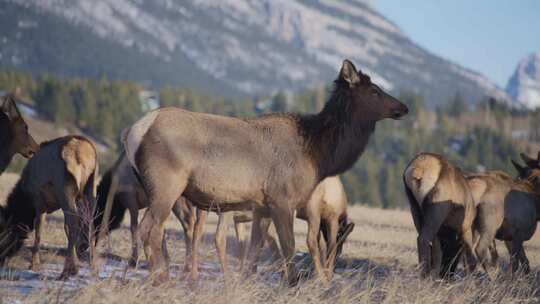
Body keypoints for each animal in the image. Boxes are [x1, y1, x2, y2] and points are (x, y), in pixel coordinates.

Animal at [0, 135, 98, 278]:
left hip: (65, 188)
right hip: (90, 187)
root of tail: (81, 149)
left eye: (3, 234)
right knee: (90, 222)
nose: (2, 259)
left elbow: (39, 231)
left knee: (73, 222)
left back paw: (68, 270)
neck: (25, 198)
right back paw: (93, 265)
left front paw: (34, 265)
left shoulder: (38, 201)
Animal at [123, 60, 410, 284]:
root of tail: (134, 130)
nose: (404, 107)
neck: (318, 154)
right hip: (166, 185)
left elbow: (255, 250)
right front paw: (291, 283)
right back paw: (159, 279)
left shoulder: (261, 205)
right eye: (374, 90)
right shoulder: (282, 199)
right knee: (150, 228)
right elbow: (289, 246)